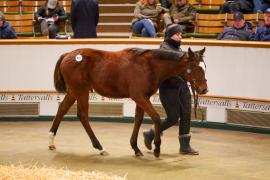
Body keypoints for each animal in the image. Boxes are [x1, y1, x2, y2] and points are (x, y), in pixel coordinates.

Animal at [48, 46, 208, 158]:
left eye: (204, 67)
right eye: (195, 67)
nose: (203, 89)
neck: (149, 66)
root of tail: (68, 55)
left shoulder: (142, 98)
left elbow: (138, 119)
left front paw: (136, 148)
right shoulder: (139, 96)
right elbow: (156, 117)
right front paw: (156, 148)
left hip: (74, 91)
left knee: (62, 109)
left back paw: (51, 142)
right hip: (81, 91)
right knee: (83, 116)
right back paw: (100, 147)